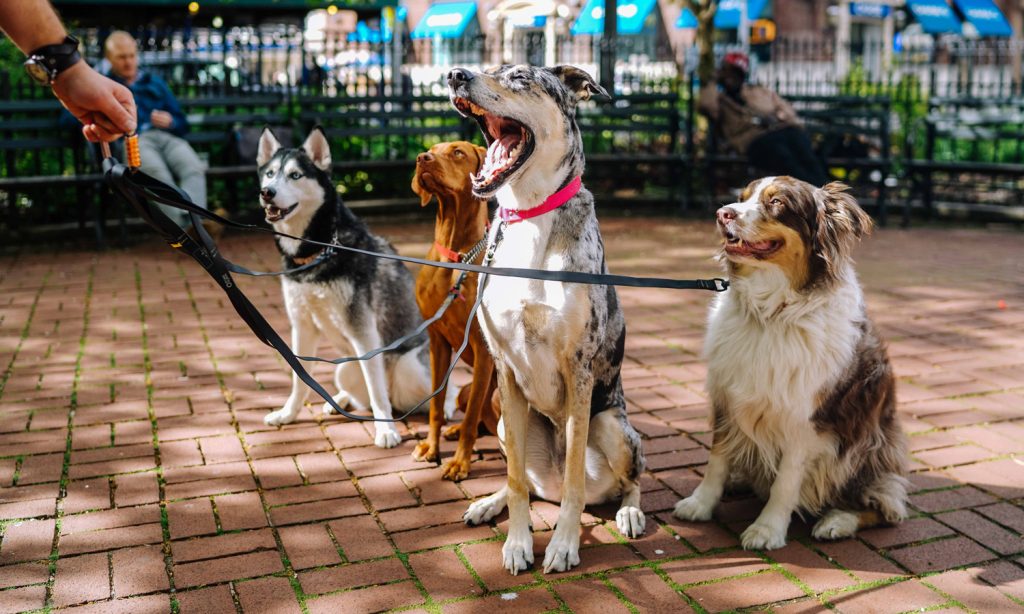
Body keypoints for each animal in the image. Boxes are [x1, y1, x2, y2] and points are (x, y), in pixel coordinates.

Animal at [411, 140, 499, 478]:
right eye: (430, 149)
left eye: (458, 152)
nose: (422, 159)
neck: (456, 256)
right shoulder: (437, 341)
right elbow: (436, 406)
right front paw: (431, 447)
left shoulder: (483, 349)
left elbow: (472, 418)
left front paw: (460, 462)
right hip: (463, 390)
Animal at [446, 67, 643, 577]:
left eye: (519, 77)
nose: (455, 74)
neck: (530, 214)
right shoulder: (505, 370)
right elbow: (516, 479)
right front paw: (518, 543)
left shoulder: (579, 370)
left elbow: (575, 479)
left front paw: (563, 545)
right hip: (501, 420)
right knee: (529, 482)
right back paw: (488, 503)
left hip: (614, 427)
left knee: (627, 481)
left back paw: (630, 513)